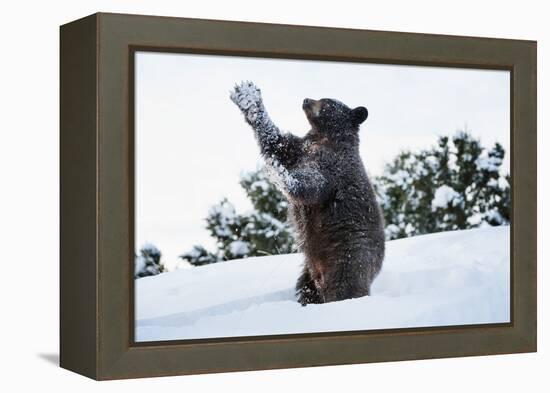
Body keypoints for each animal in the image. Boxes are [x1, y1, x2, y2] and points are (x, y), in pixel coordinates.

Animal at [231, 81, 386, 304]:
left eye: (327, 101)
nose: (306, 99)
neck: (323, 137)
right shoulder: (300, 149)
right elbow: (276, 141)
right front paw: (247, 96)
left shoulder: (331, 169)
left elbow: (308, 186)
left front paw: (277, 172)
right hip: (310, 271)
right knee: (308, 288)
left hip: (349, 256)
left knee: (343, 288)